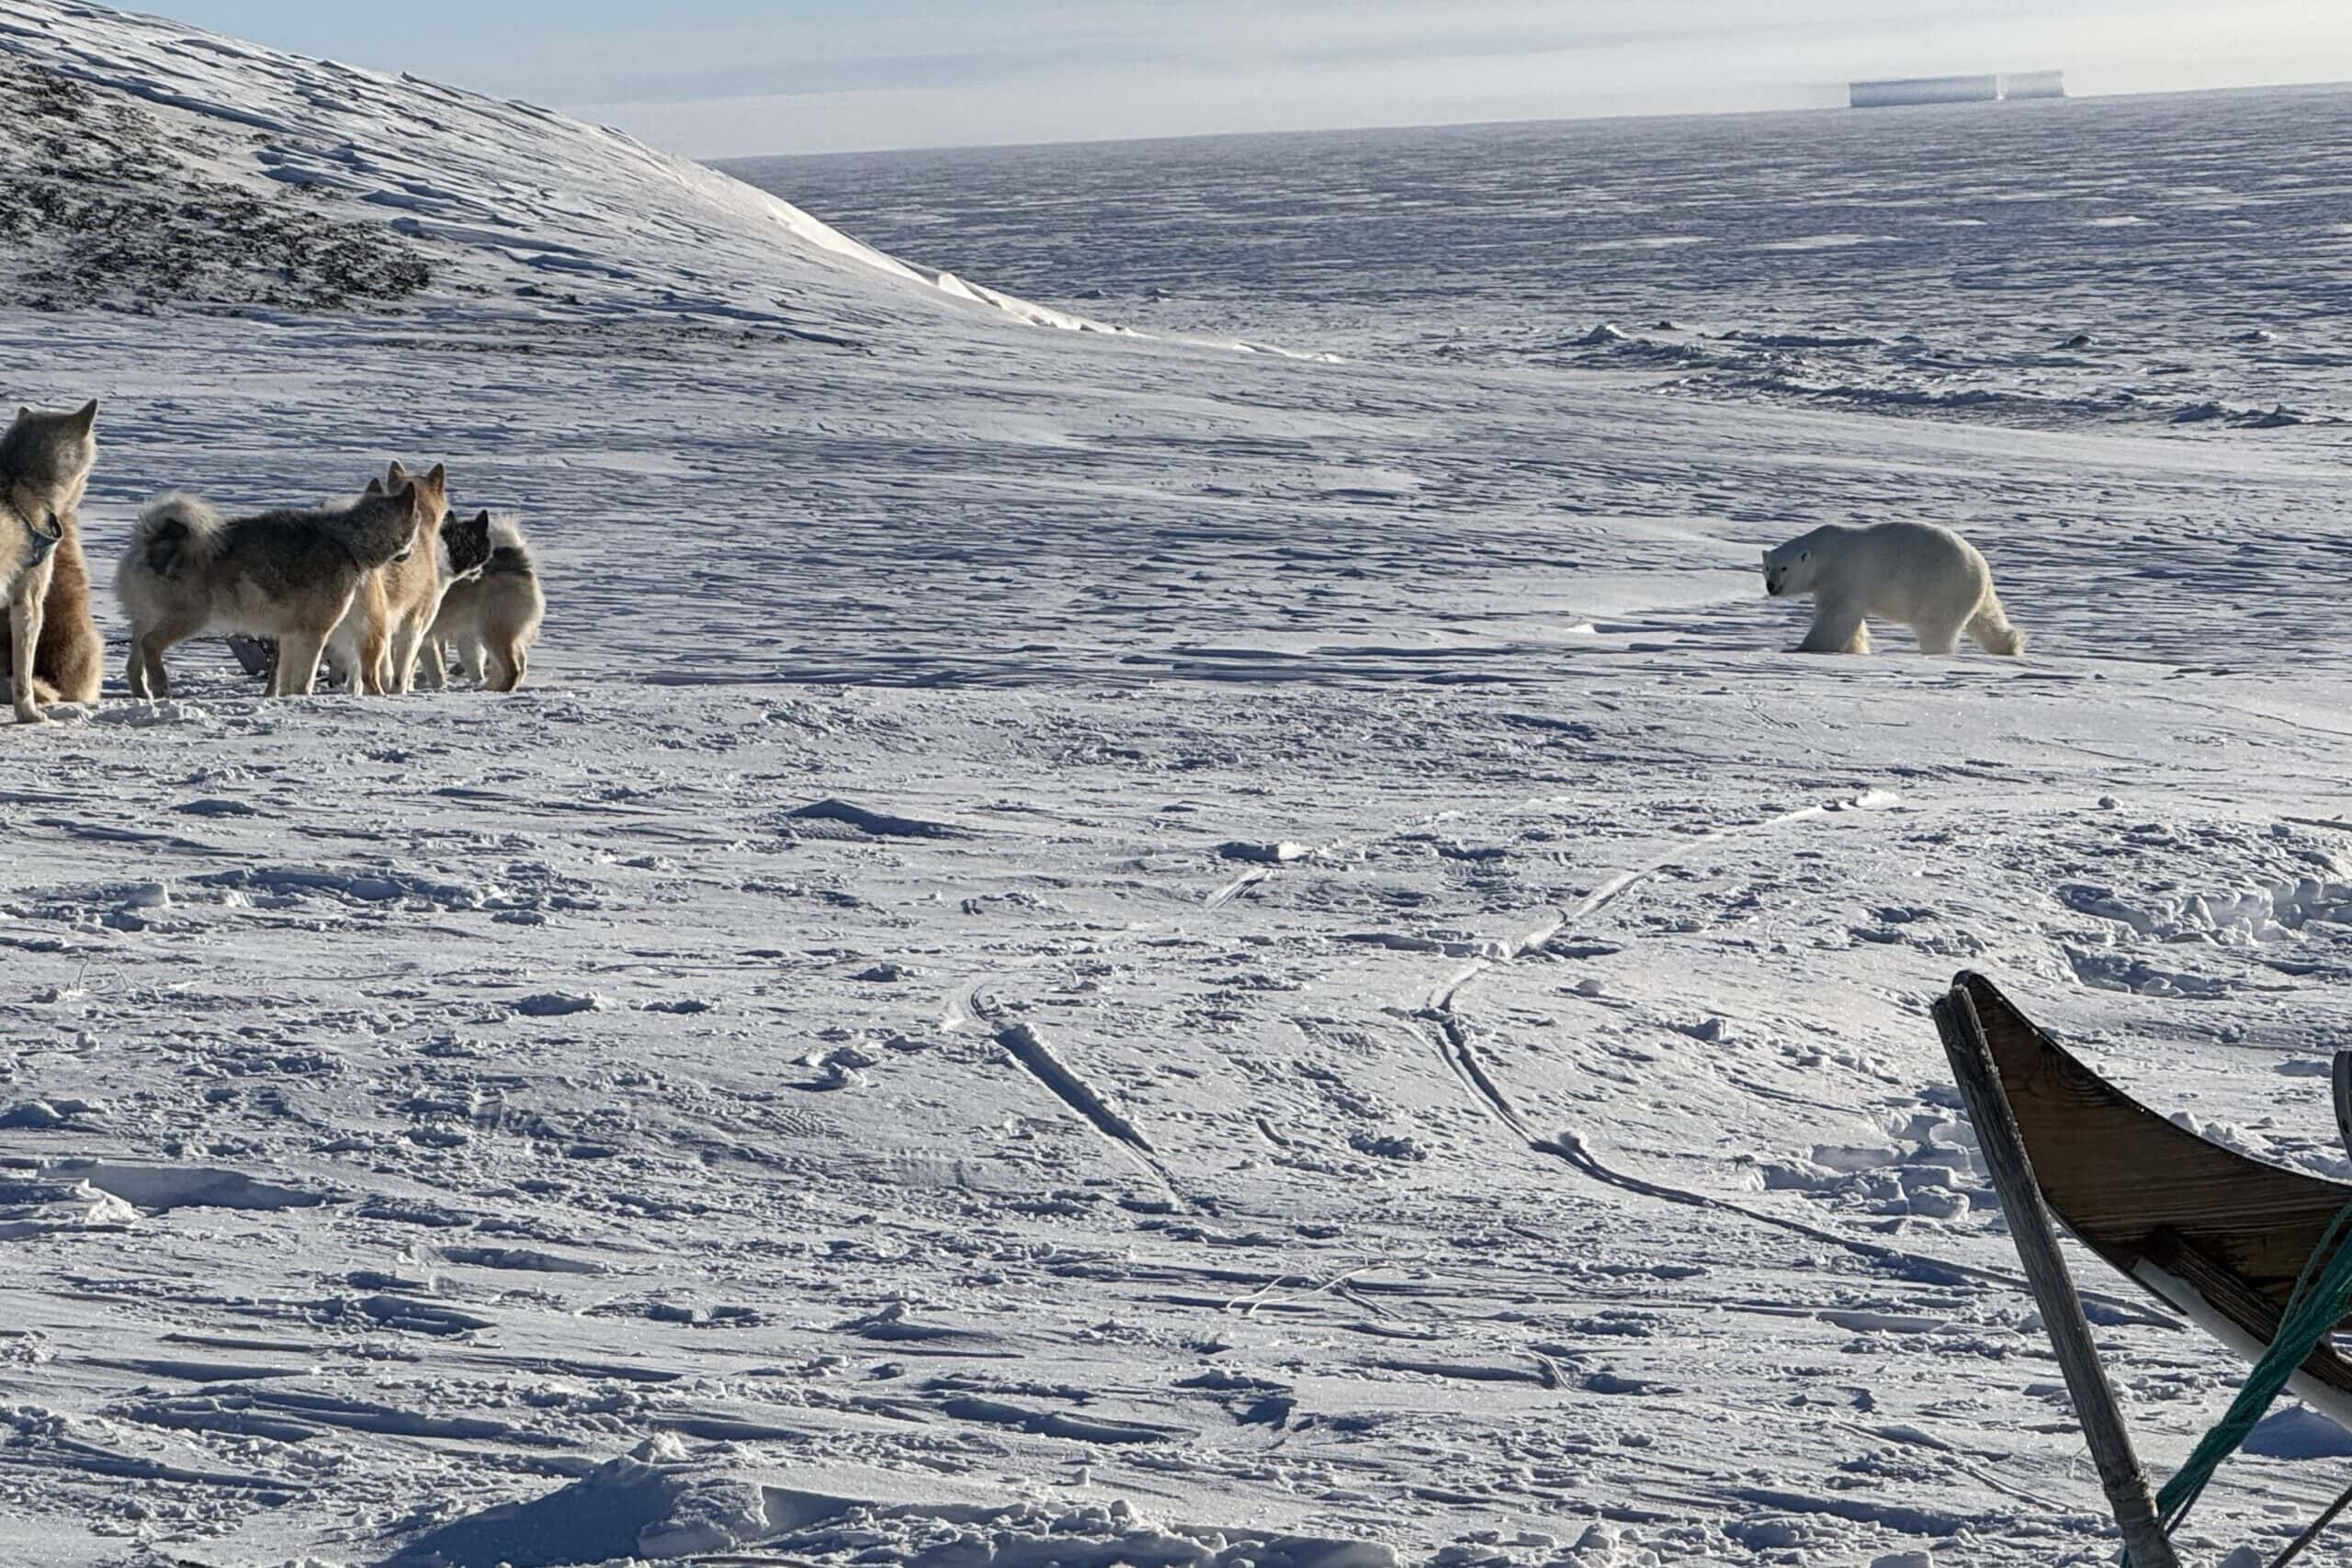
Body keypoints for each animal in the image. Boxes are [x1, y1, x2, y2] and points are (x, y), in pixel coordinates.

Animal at [1762, 521, 2024, 657]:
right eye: (1766, 568)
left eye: (1784, 568)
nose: (1771, 586)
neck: (1826, 555)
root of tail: (1982, 566)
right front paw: (1855, 648)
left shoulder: (1845, 574)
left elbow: (1836, 617)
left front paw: (1805, 648)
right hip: (1971, 592)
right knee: (1987, 618)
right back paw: (2011, 646)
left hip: (1943, 588)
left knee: (1936, 628)